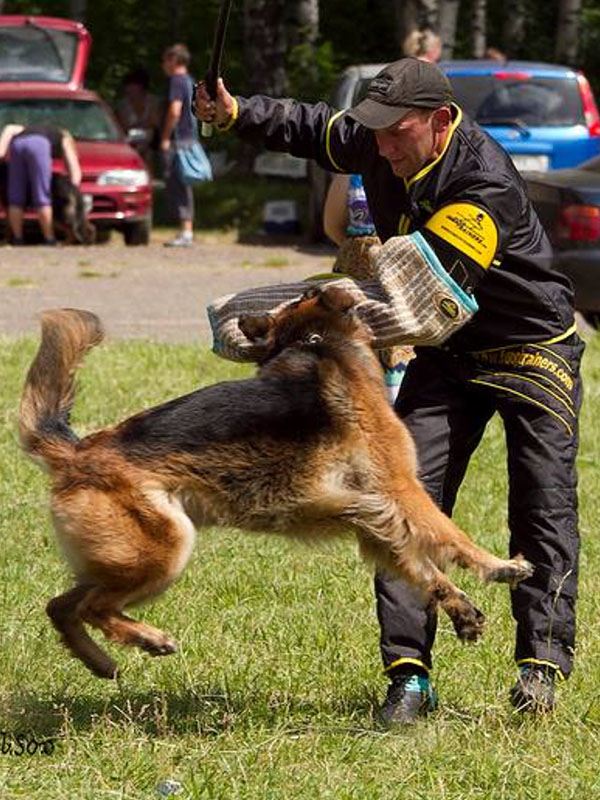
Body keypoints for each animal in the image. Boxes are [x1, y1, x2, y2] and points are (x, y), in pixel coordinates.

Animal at [19, 284, 536, 680]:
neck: (316, 341)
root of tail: (77, 452)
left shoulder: (373, 521)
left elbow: (424, 570)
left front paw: (461, 609)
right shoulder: (400, 489)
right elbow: (450, 535)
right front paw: (501, 566)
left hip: (124, 559)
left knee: (60, 606)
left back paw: (101, 662)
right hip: (165, 547)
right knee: (91, 607)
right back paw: (149, 639)